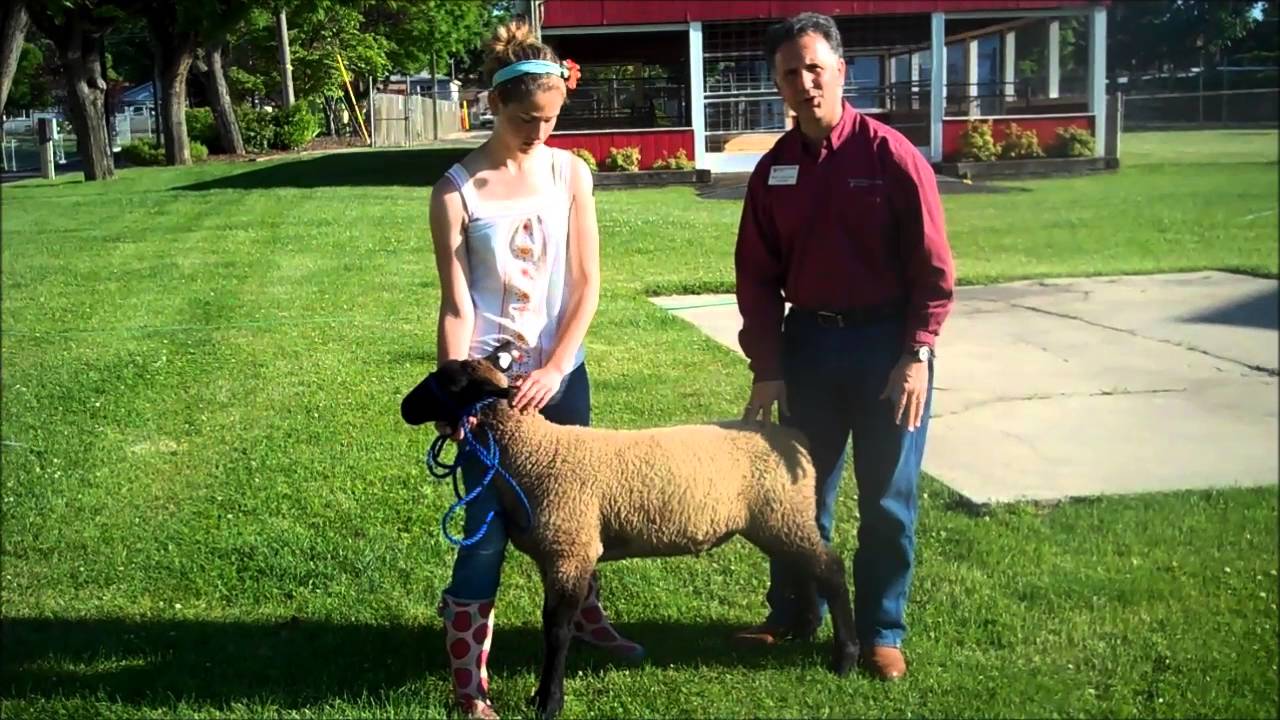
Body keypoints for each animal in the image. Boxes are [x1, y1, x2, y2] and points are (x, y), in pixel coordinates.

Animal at [401, 342, 859, 720]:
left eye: (451, 382)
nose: (405, 407)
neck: (534, 452)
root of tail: (796, 438)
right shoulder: (560, 552)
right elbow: (556, 621)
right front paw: (542, 696)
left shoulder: (571, 549)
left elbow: (557, 628)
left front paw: (549, 701)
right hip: (781, 521)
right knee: (807, 569)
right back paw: (803, 631)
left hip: (784, 515)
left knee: (831, 570)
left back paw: (846, 657)